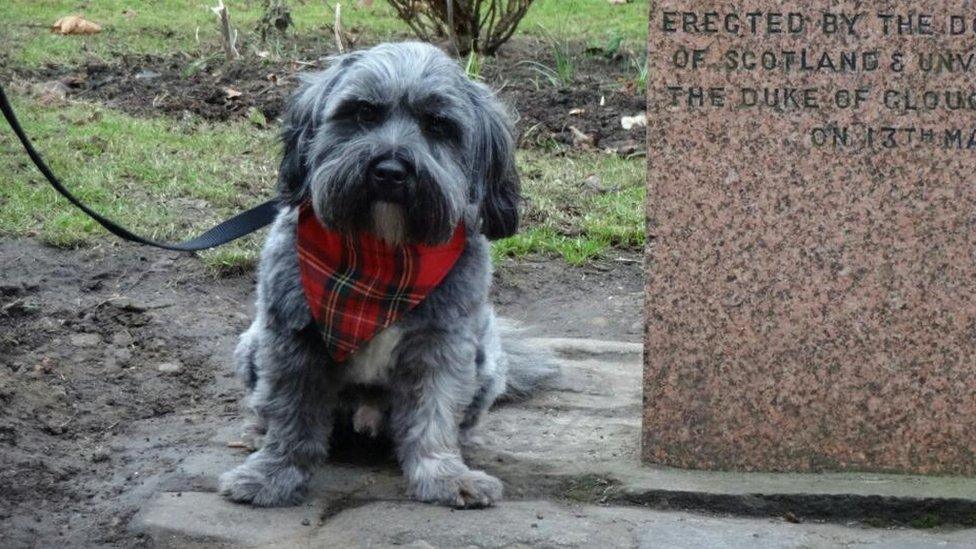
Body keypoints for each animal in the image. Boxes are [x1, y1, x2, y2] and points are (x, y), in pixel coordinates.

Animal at [218, 42, 560, 510]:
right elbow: (291, 413)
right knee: (263, 403)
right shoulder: (291, 337)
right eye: (363, 112)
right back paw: (256, 432)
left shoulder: (442, 343)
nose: (390, 171)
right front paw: (273, 474)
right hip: (251, 344)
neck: (381, 258)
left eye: (438, 124)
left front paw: (445, 476)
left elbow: (435, 413)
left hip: (487, 362)